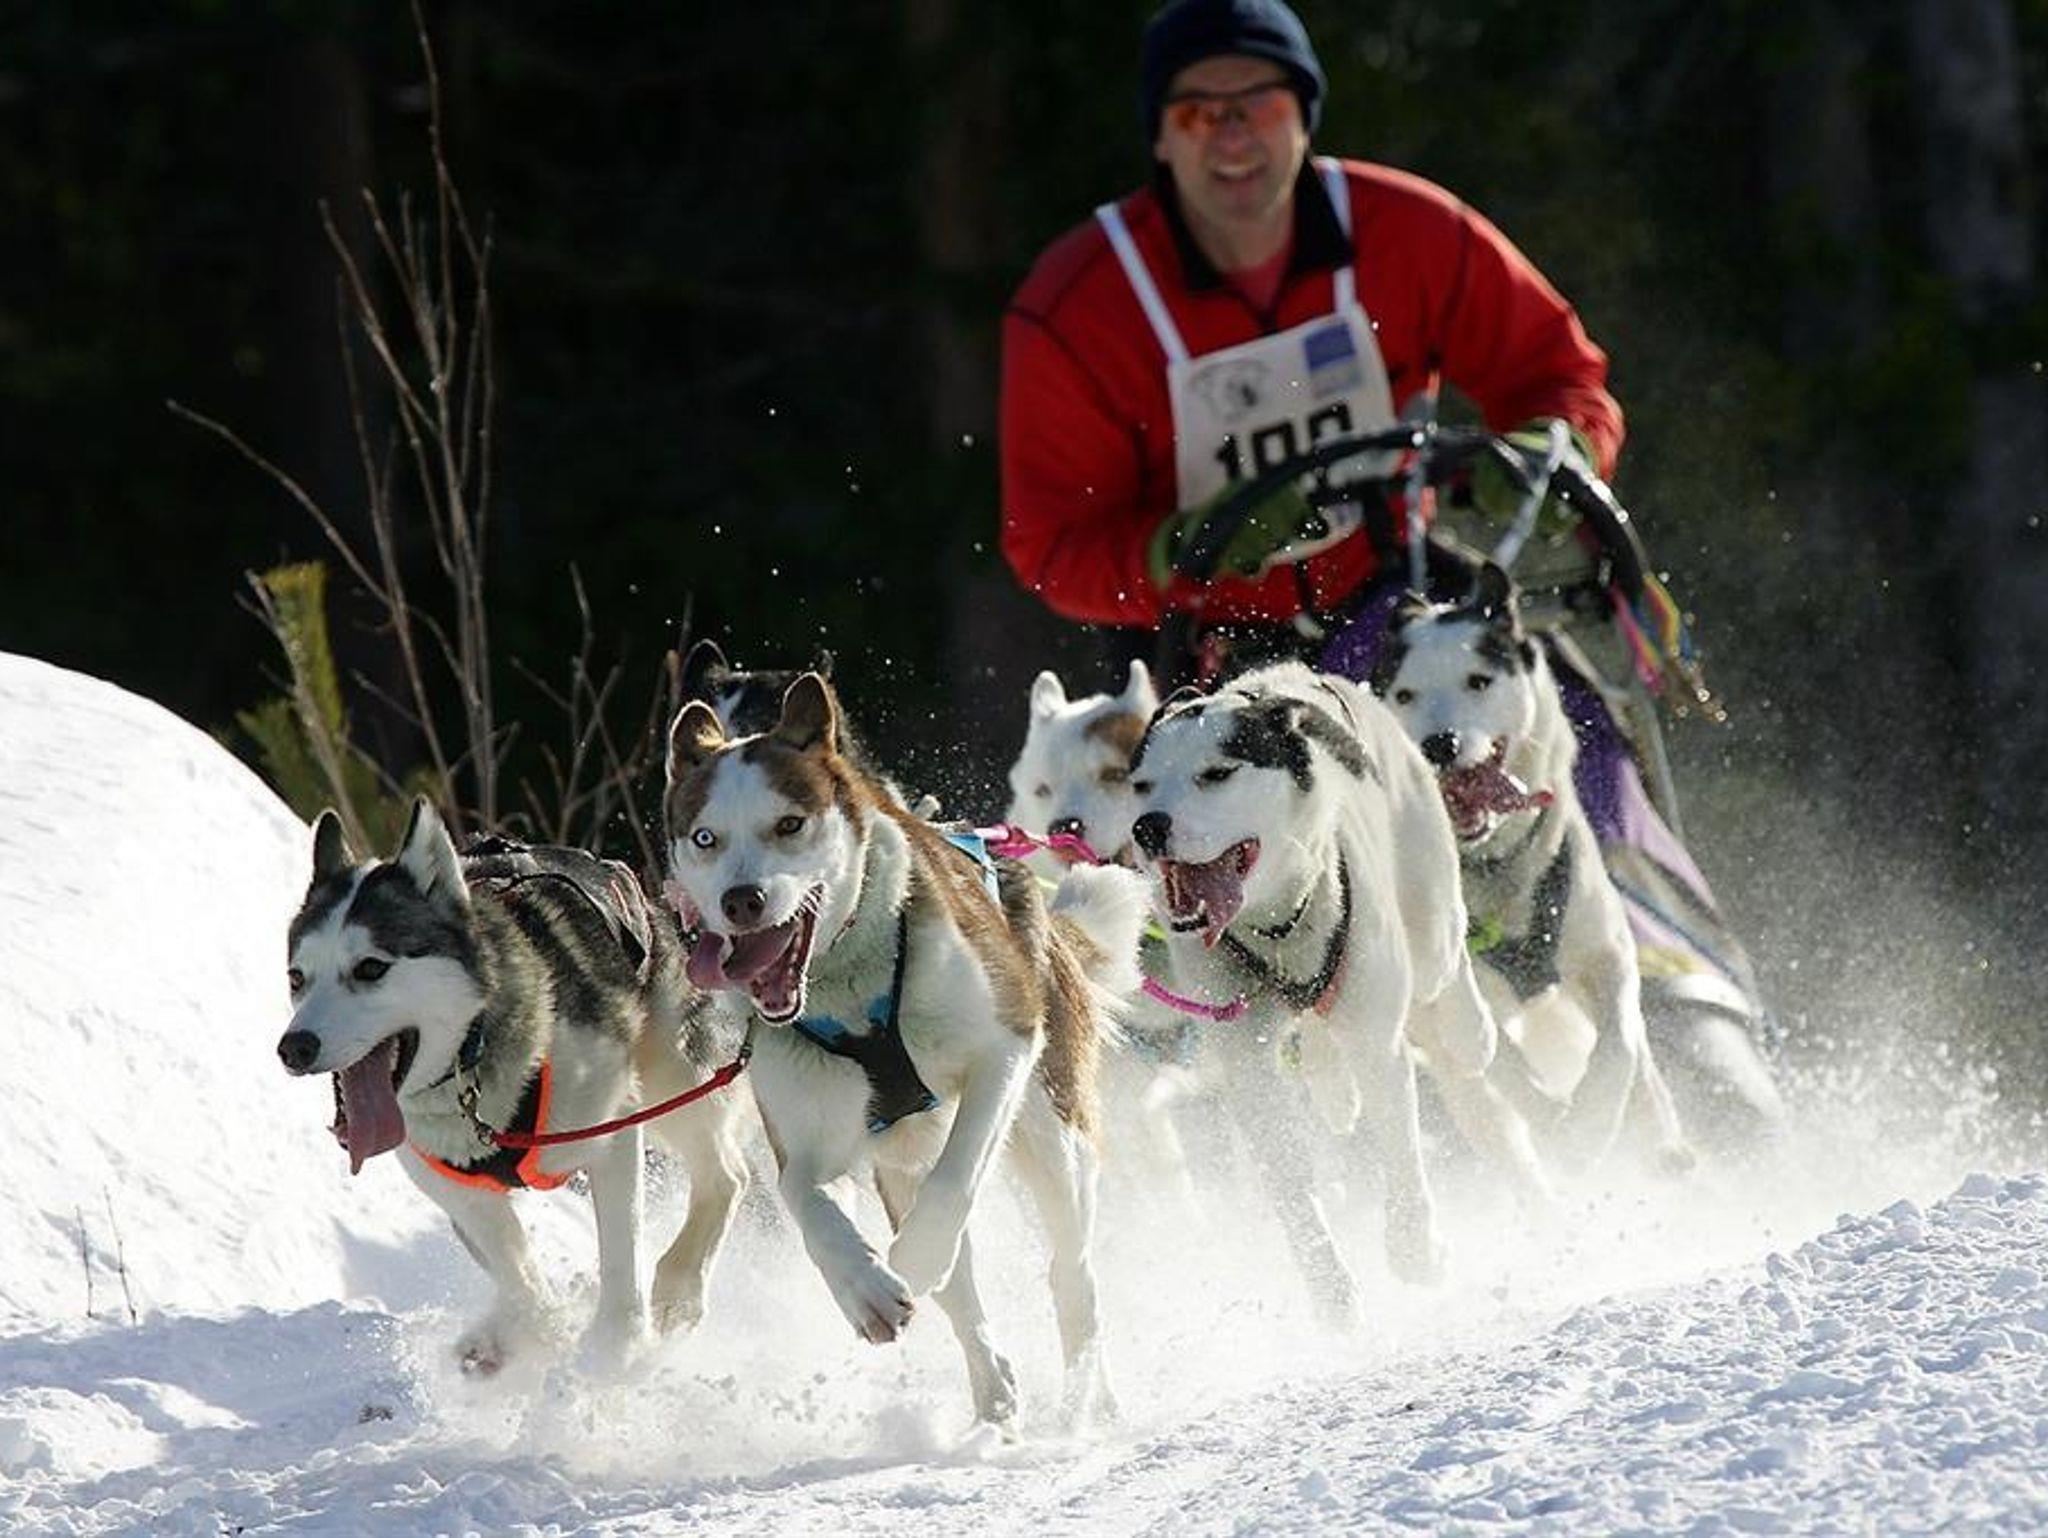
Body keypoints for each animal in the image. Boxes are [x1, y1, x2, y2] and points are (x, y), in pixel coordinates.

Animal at [277, 803, 750, 1374]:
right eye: (297, 977)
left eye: (371, 967)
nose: (294, 1047)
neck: (473, 1066)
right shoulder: (458, 1191)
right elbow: (514, 1266)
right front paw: (532, 1332)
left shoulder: (612, 1128)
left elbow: (622, 1253)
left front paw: (612, 1352)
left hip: (670, 1077)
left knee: (727, 1176)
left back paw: (680, 1289)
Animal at [663, 672, 1147, 1427]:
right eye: (705, 837)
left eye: (789, 824)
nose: (741, 900)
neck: (850, 988)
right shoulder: (806, 1135)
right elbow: (803, 1197)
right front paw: (862, 1285)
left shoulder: (1002, 1051)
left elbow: (956, 1182)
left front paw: (911, 1258)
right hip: (900, 1163)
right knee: (963, 1288)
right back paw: (993, 1390)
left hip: (1053, 1136)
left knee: (1070, 1272)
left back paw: (1084, 1401)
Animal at [1127, 660, 1548, 1320]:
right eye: (1143, 785)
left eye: (1216, 774)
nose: (1149, 827)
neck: (1278, 925)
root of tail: (1293, 672)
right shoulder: (1244, 1054)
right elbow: (1289, 1178)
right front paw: (1330, 1287)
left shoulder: (1375, 1037)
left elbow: (1400, 1146)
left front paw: (1416, 1248)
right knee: (1321, 1047)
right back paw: (1333, 1092)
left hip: (1427, 914)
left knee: (1446, 968)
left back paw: (1470, 1032)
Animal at [1371, 562, 1693, 1173]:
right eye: (1405, 694)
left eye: (1477, 681)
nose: (1439, 743)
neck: (1491, 866)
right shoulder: (1445, 1015)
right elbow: (1496, 1058)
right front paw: (1557, 1117)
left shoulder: (1607, 951)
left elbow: (1620, 1040)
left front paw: (1594, 1118)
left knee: (1645, 1084)